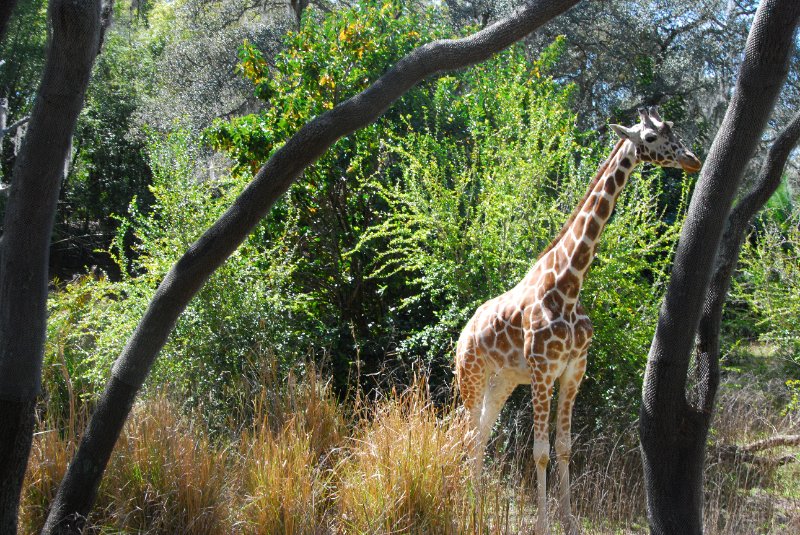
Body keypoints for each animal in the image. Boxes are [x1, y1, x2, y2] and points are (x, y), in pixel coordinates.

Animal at [456, 107, 700, 532]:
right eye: (651, 137)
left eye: (674, 131)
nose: (693, 160)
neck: (568, 285)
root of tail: (462, 334)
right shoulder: (543, 372)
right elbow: (539, 451)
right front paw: (541, 524)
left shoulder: (574, 369)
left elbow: (565, 447)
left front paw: (568, 521)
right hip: (470, 375)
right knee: (469, 432)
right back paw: (469, 502)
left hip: (502, 380)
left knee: (482, 431)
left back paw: (478, 500)